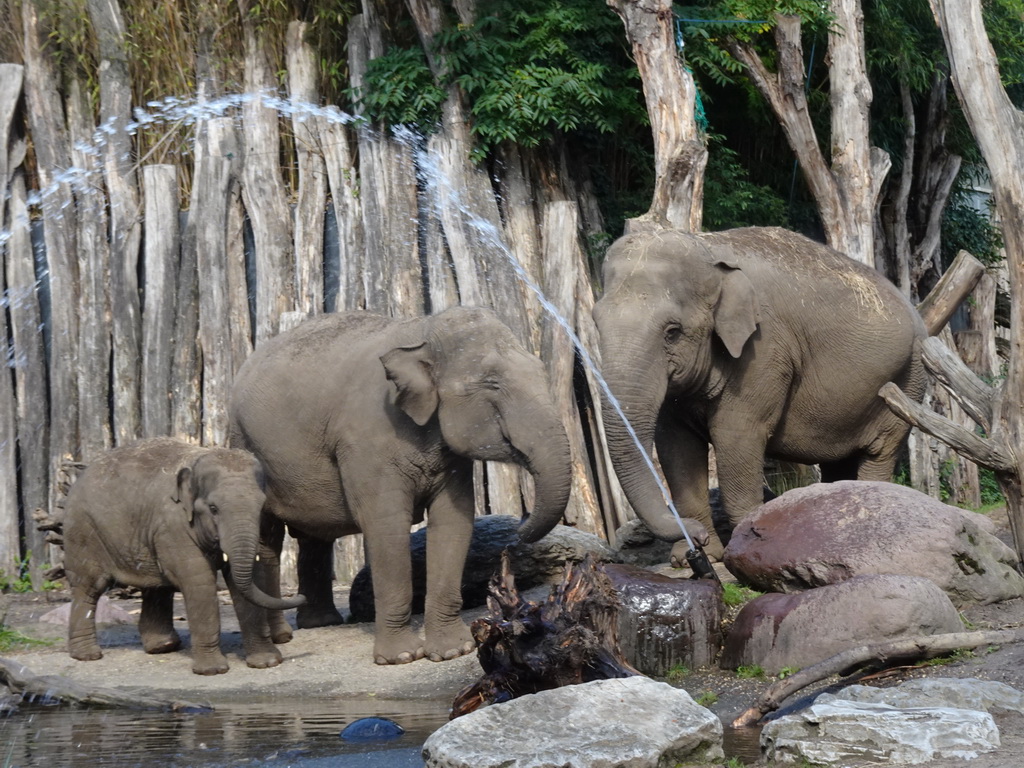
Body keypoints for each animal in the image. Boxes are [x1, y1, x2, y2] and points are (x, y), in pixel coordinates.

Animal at [61, 438, 303, 671]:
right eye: (213, 508)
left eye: (261, 507)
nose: (302, 596)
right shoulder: (173, 526)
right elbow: (199, 581)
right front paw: (213, 670)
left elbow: (244, 582)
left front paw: (266, 662)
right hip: (82, 533)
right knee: (88, 587)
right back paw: (88, 655)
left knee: (156, 586)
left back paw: (162, 646)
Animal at [227, 307, 573, 667]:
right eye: (492, 382)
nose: (519, 527)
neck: (422, 329)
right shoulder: (368, 438)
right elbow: (386, 525)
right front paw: (402, 657)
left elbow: (454, 521)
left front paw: (452, 651)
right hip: (246, 445)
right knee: (268, 541)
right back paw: (283, 635)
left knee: (313, 537)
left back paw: (321, 621)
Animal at [593, 227, 929, 561]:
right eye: (596, 325)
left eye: (672, 332)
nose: (697, 539)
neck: (707, 248)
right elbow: (675, 444)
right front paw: (696, 556)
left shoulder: (764, 351)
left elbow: (735, 436)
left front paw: (744, 546)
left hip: (909, 379)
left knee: (879, 452)